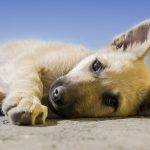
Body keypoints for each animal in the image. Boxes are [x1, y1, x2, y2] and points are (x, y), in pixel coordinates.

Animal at [0, 19, 149, 125]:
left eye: (111, 101)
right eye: (96, 65)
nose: (58, 95)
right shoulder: (27, 61)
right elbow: (31, 80)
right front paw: (26, 101)